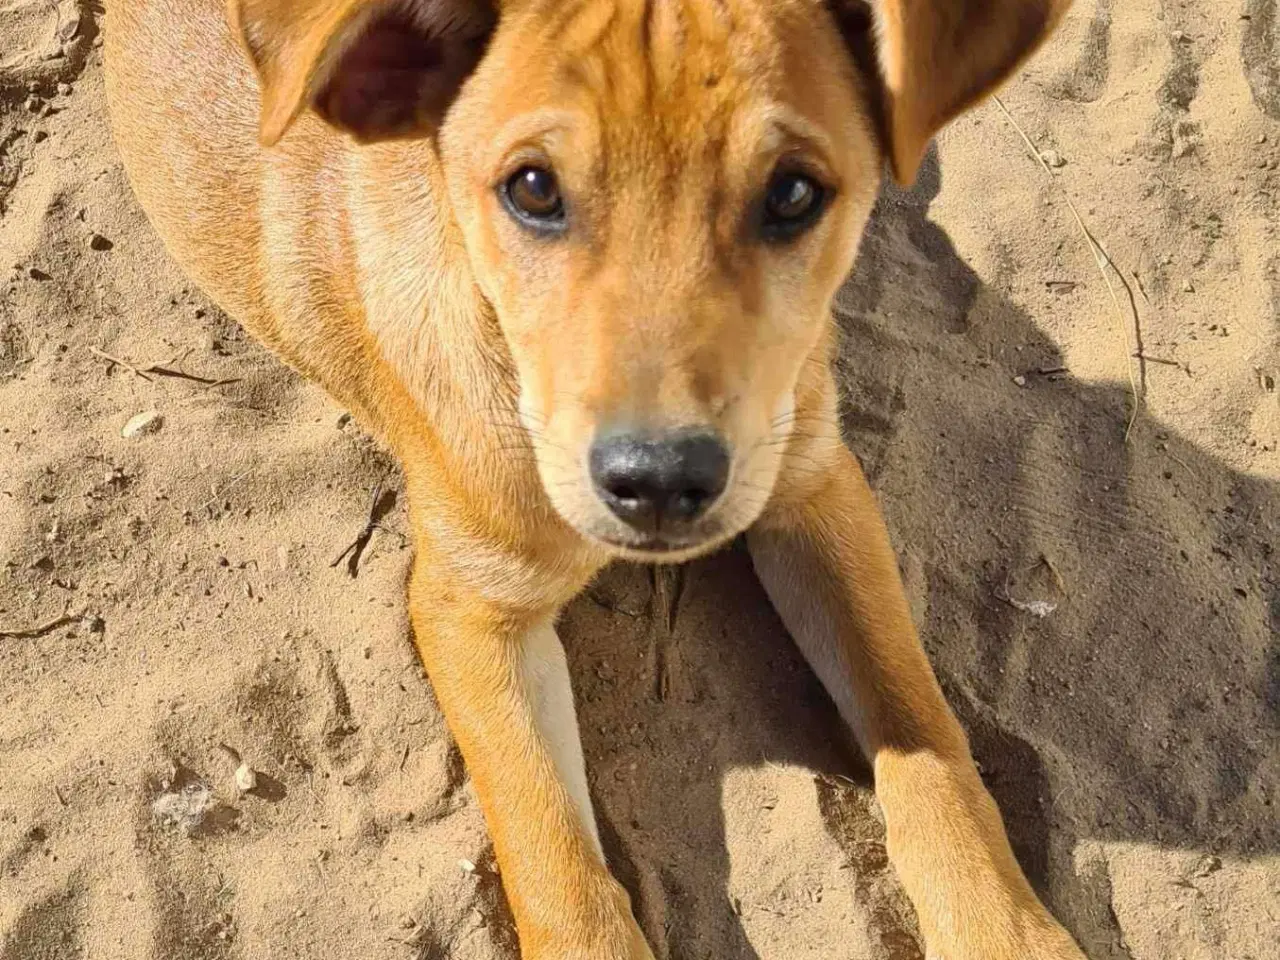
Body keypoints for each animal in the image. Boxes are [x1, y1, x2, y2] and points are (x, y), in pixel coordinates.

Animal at [107, 0, 1090, 957]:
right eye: (533, 189)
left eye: (793, 193)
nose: (658, 481)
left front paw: (1007, 931)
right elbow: (561, 875)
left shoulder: (814, 487)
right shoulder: (472, 613)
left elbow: (923, 732)